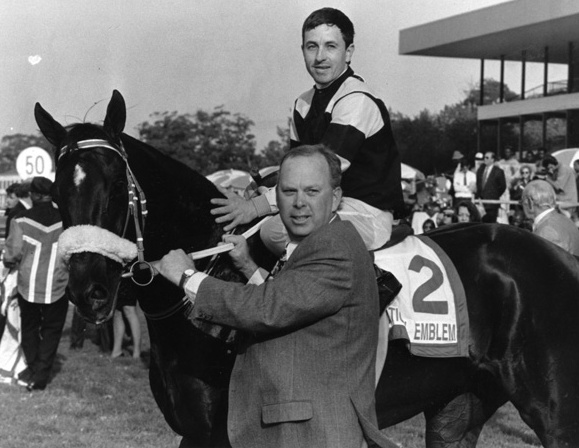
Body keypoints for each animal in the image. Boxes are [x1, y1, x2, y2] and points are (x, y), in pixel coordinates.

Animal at [35, 89, 579, 446]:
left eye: (113, 186)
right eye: (57, 190)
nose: (89, 291)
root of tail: (561, 258)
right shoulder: (195, 433)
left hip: (555, 412)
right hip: (457, 406)